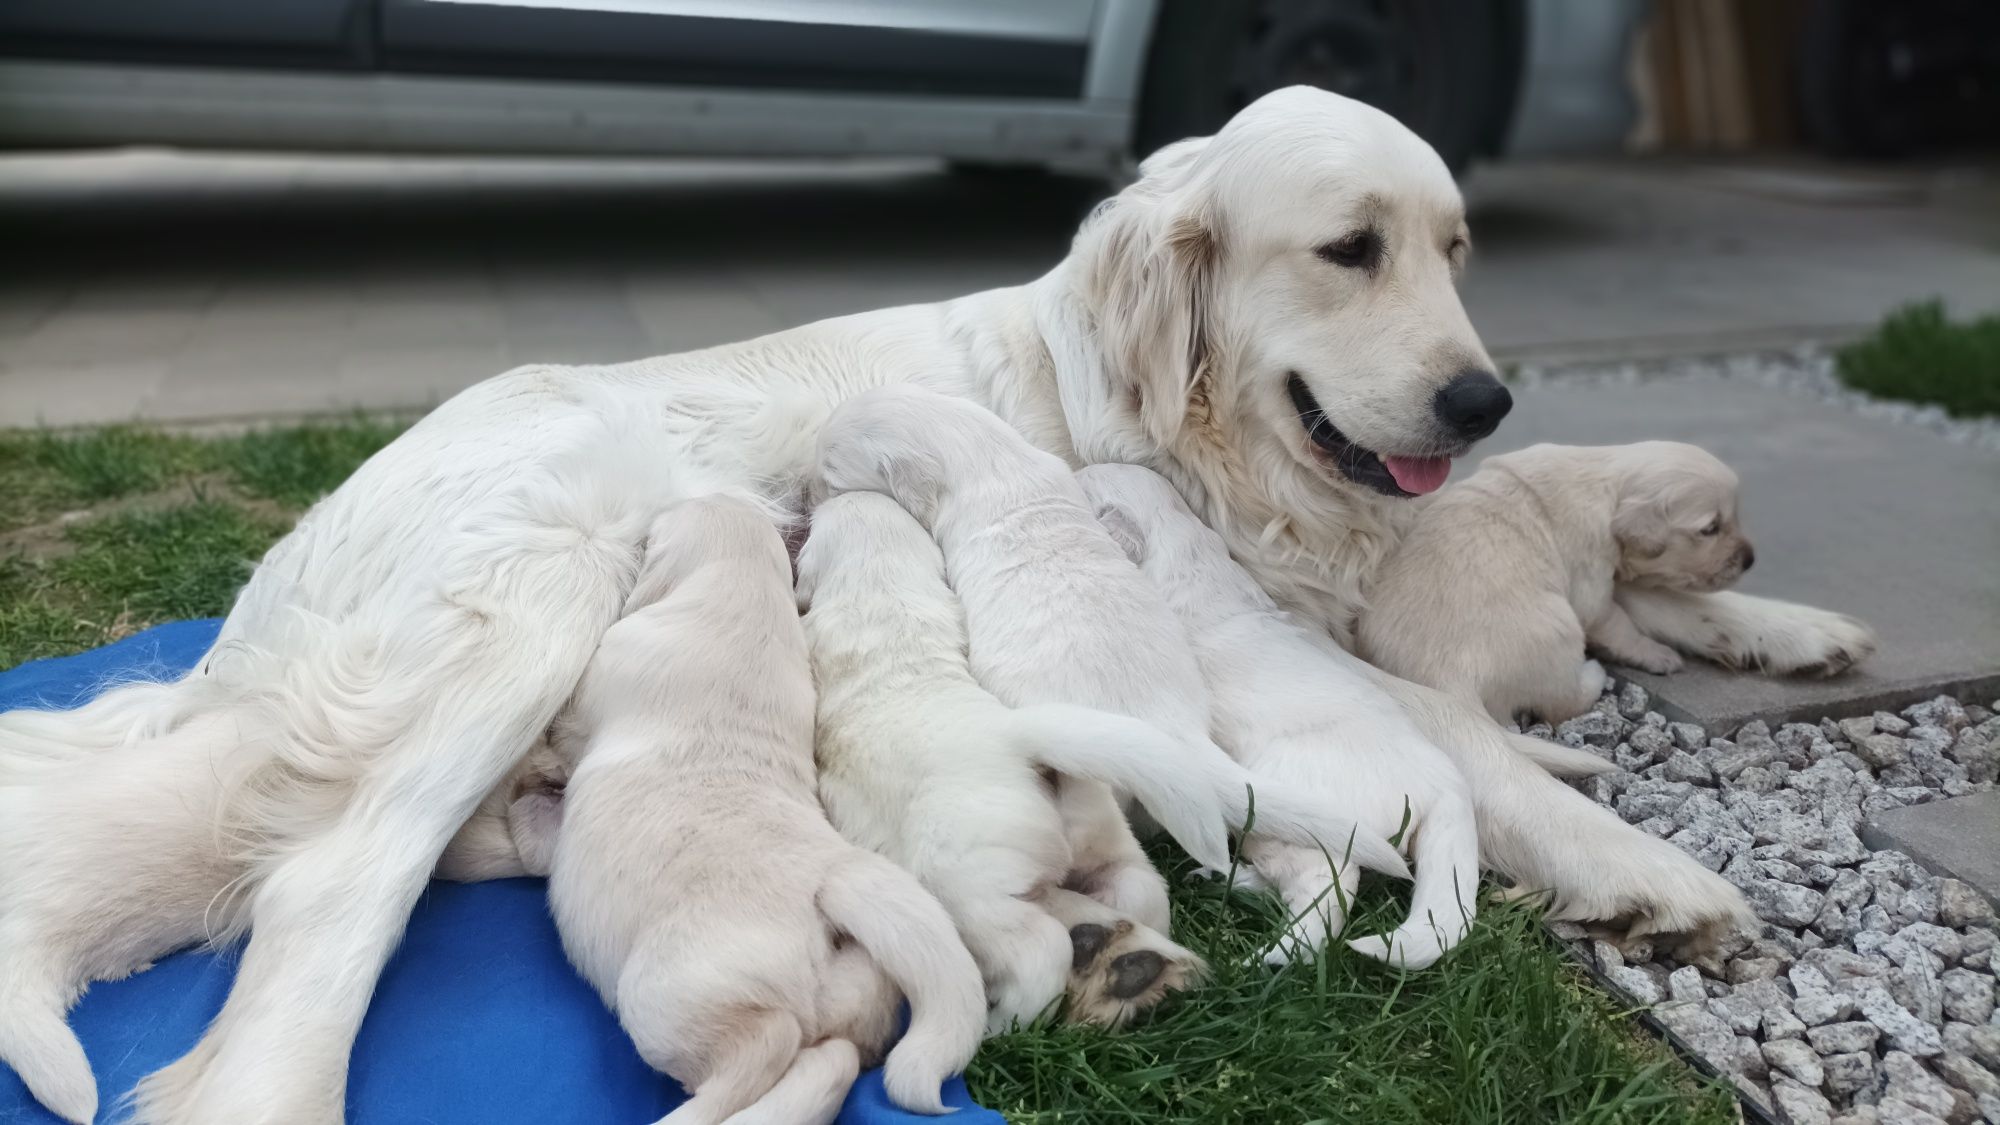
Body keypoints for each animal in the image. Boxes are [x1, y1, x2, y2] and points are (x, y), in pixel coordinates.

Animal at [520, 494, 980, 1112]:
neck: (743, 599)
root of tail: (828, 871)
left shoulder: (602, 677)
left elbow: (564, 736)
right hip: (854, 980)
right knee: (843, 1042)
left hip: (668, 993)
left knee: (765, 1047)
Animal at [1080, 460, 1488, 968]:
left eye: (1085, 483)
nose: (1079, 465)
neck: (1183, 545)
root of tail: (1446, 788)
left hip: (1296, 818)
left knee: (1326, 891)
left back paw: (1268, 954)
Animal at [1360, 438, 1840, 716]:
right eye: (1710, 528)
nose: (1750, 560)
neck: (1608, 480)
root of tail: (1446, 683)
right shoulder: (1590, 583)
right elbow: (1618, 624)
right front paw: (1657, 655)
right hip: (1558, 629)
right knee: (1560, 702)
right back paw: (1593, 676)